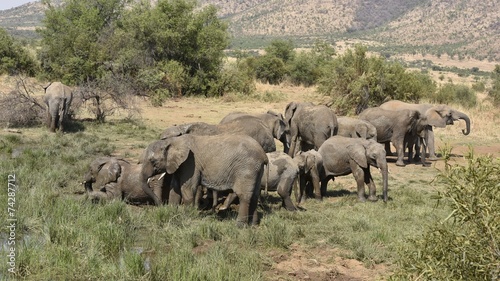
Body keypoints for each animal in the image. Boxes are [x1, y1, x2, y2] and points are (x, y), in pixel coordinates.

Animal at [139, 133, 268, 225]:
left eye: (153, 161)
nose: (160, 205)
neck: (173, 141)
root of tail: (264, 155)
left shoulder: (190, 163)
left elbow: (187, 189)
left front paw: (187, 217)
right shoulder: (179, 165)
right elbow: (174, 189)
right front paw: (171, 214)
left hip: (246, 168)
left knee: (244, 195)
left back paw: (240, 225)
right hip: (257, 170)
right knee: (254, 195)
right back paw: (253, 224)